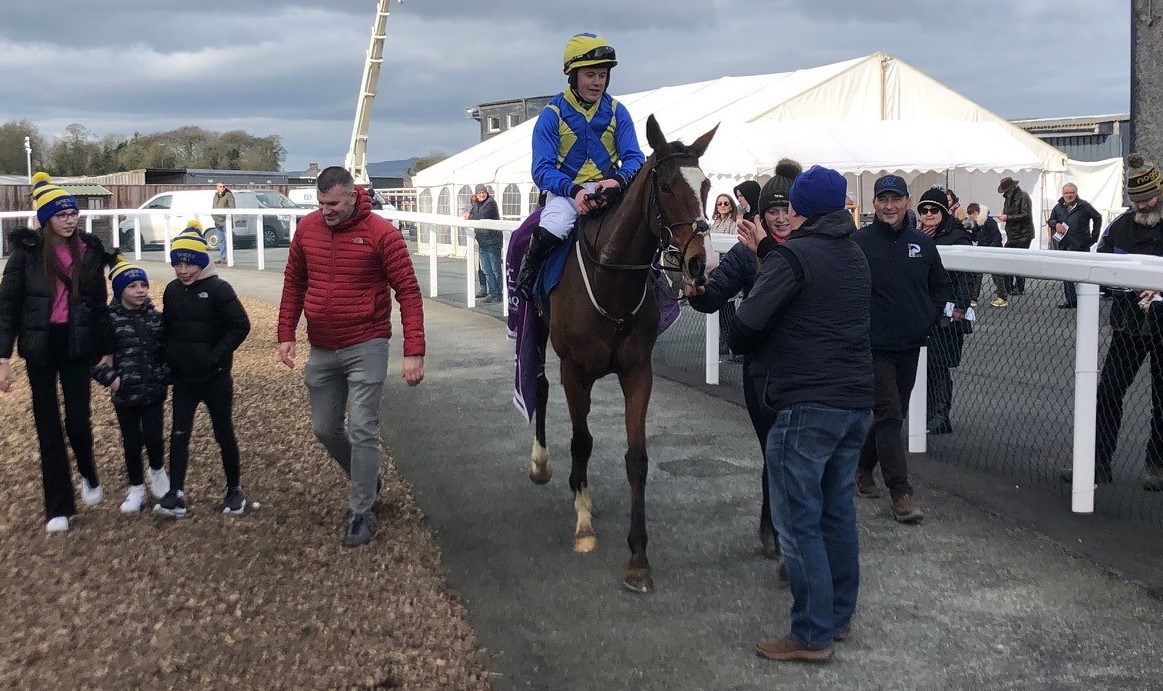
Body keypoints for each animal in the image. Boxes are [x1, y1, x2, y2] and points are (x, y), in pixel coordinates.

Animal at [530, 114, 711, 590]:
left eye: (705, 185)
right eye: (665, 185)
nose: (698, 263)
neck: (611, 280)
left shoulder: (637, 372)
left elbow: (637, 458)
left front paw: (638, 555)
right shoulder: (574, 370)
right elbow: (581, 441)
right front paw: (583, 526)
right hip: (535, 329)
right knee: (538, 387)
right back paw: (542, 466)